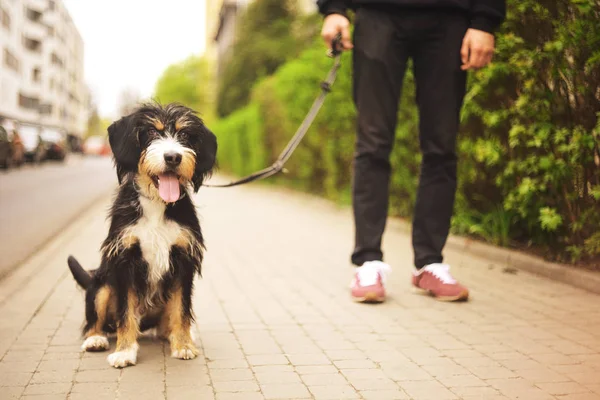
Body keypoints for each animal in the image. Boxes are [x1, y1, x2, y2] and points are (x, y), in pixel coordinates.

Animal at [67, 101, 217, 368]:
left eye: (185, 135)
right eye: (152, 132)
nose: (173, 157)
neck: (157, 204)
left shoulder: (183, 260)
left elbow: (182, 309)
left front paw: (183, 345)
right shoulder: (125, 259)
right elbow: (126, 313)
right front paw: (125, 351)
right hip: (102, 282)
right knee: (95, 319)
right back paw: (95, 339)